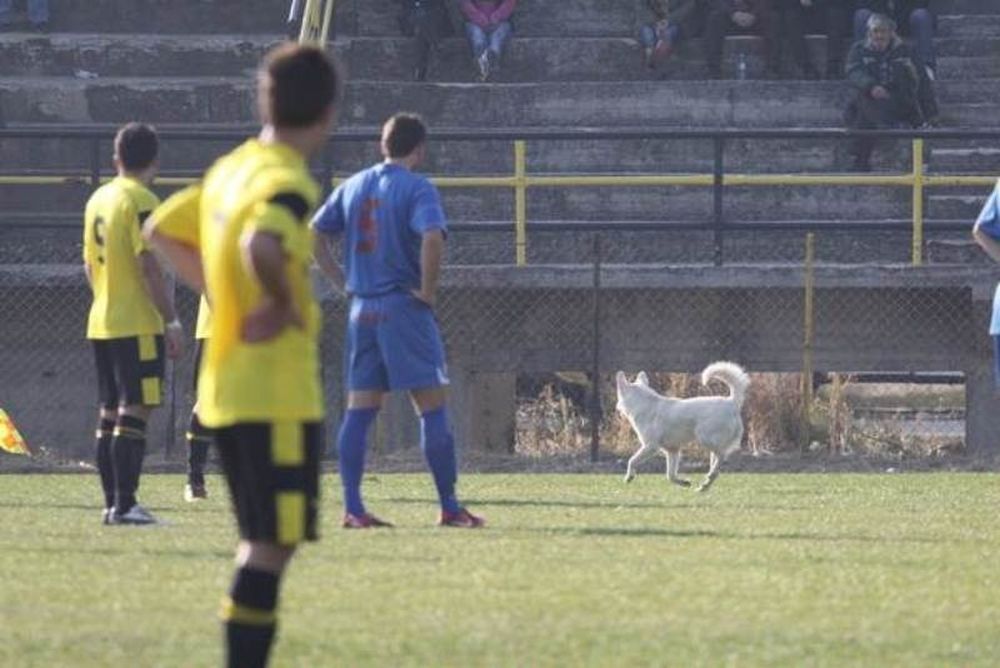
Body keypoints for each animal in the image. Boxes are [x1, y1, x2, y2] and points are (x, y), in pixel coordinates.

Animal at [616, 362, 752, 494]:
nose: (617, 407)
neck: (644, 403)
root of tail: (731, 402)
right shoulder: (672, 451)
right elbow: (670, 475)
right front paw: (684, 482)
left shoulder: (651, 446)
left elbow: (631, 460)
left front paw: (629, 477)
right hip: (710, 445)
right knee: (717, 466)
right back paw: (704, 485)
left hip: (705, 439)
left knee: (722, 455)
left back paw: (709, 476)